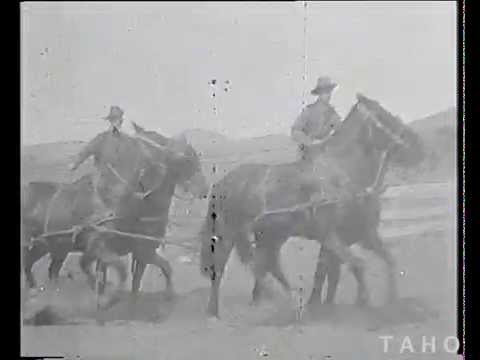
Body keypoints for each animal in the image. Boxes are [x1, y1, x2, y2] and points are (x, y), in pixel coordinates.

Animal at [198, 93, 424, 318]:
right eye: (384, 117)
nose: (418, 145)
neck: (342, 175)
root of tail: (222, 183)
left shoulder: (364, 234)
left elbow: (384, 261)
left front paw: (391, 300)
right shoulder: (330, 235)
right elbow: (355, 265)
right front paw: (363, 301)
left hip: (271, 236)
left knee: (267, 264)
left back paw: (279, 300)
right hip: (228, 234)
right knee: (223, 268)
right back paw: (215, 311)